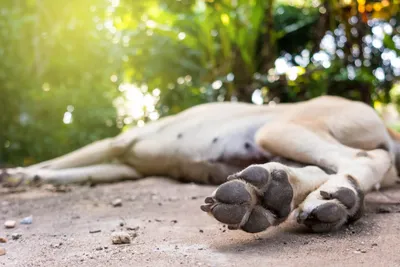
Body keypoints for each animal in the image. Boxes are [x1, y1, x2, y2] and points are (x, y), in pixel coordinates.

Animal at [0, 95, 400, 233]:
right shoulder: (125, 166)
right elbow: (74, 170)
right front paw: (33, 178)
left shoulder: (116, 142)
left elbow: (61, 159)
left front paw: (20, 173)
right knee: (319, 169)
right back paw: (268, 196)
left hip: (279, 128)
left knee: (363, 157)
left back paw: (337, 196)